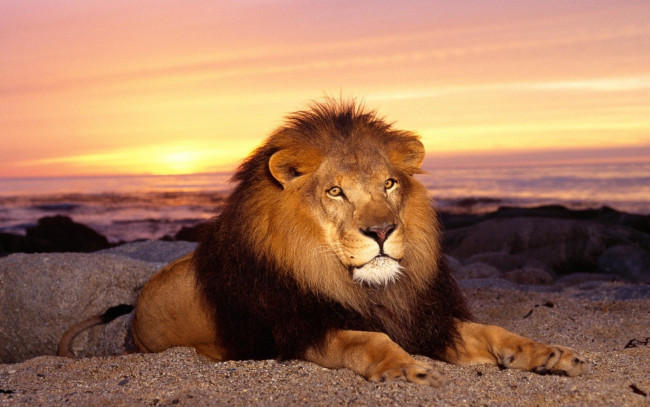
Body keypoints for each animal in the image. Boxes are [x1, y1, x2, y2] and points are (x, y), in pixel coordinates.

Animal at [59, 99, 590, 385]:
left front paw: (549, 354)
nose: (381, 231)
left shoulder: (425, 318)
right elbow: (366, 338)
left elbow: (495, 332)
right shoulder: (301, 330)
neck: (365, 287)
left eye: (389, 185)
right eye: (336, 191)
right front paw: (408, 369)